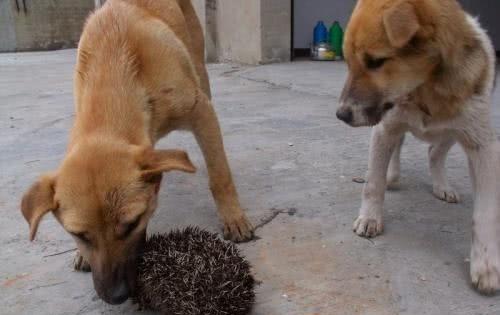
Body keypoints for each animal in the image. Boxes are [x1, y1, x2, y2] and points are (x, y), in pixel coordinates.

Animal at [20, 0, 254, 306]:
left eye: (132, 224)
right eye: (78, 234)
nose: (116, 296)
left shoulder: (201, 111)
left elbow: (220, 174)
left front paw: (233, 217)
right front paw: (82, 254)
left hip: (200, 71)